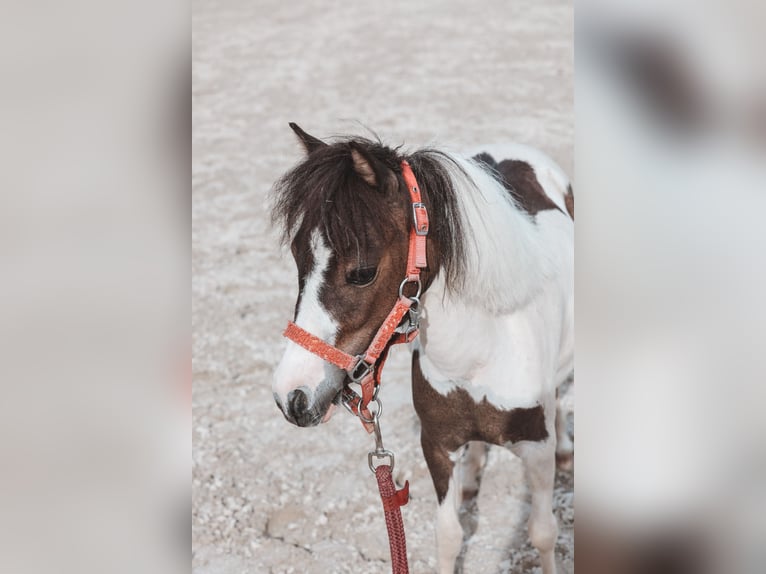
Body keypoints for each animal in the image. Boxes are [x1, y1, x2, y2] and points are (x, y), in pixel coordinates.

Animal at [271, 123, 574, 574]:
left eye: (362, 272)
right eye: (296, 255)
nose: (291, 396)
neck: (481, 356)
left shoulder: (536, 451)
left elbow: (542, 533)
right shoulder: (436, 444)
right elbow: (448, 535)